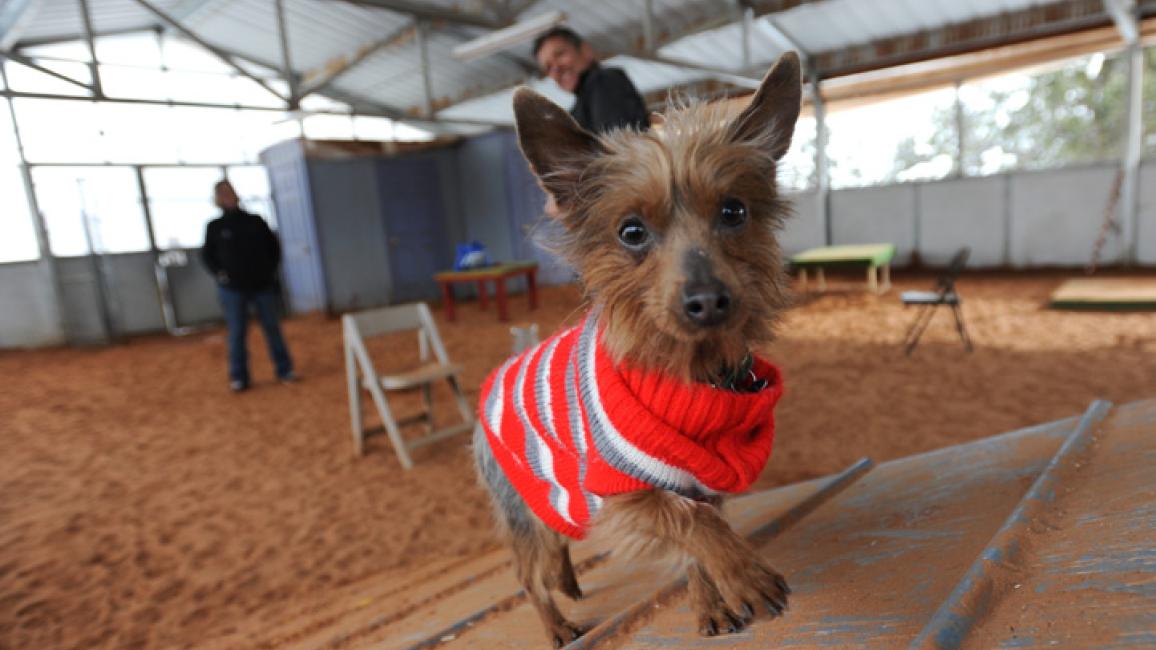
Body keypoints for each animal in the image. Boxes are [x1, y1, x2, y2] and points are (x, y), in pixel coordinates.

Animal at [473, 49, 799, 643]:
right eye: (631, 232)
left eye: (734, 212)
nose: (707, 300)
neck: (689, 371)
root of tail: (505, 365)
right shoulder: (623, 492)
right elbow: (694, 525)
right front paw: (744, 577)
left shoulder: (700, 481)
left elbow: (698, 541)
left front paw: (710, 604)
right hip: (521, 508)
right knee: (529, 576)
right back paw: (557, 625)